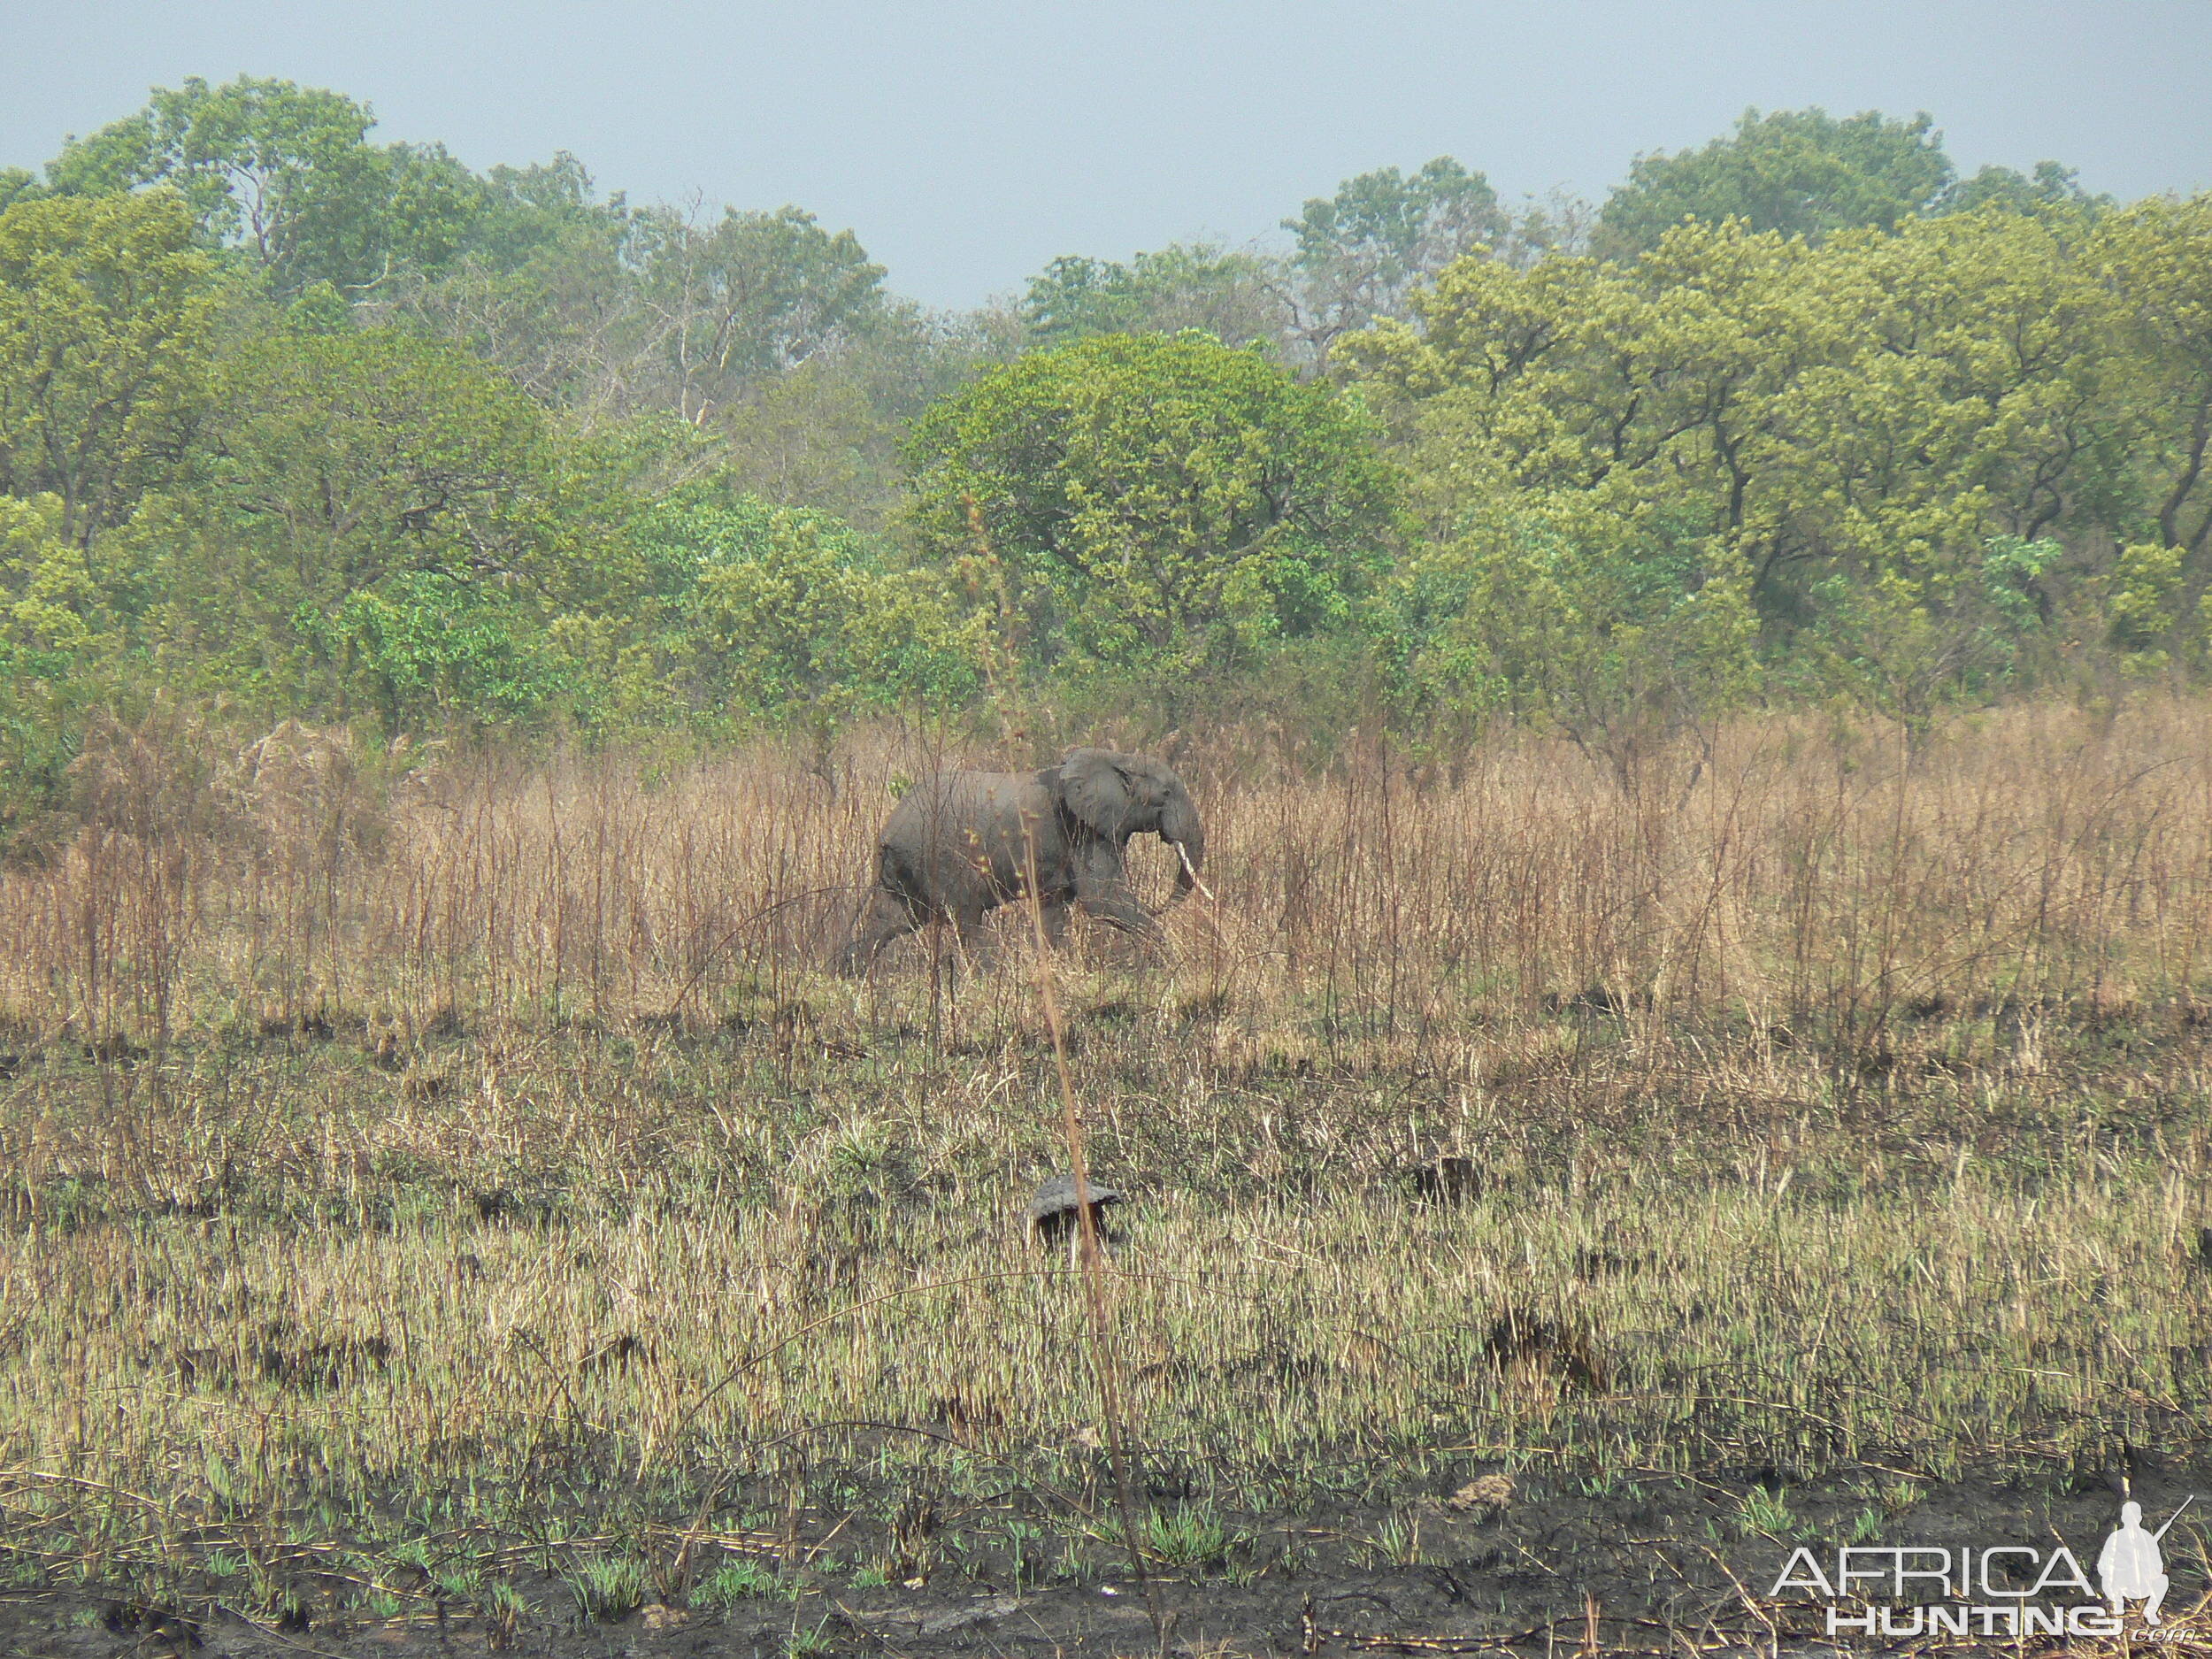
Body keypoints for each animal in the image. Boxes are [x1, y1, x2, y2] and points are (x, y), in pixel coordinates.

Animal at [832, 752, 1212, 973]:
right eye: (1165, 794)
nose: (1158, 905)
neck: (1115, 758)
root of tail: (888, 829)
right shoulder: (1082, 829)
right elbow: (1102, 899)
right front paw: (1172, 967)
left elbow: (1055, 909)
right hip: (940, 856)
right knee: (964, 915)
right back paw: (986, 976)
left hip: (905, 864)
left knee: (893, 918)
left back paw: (849, 974)